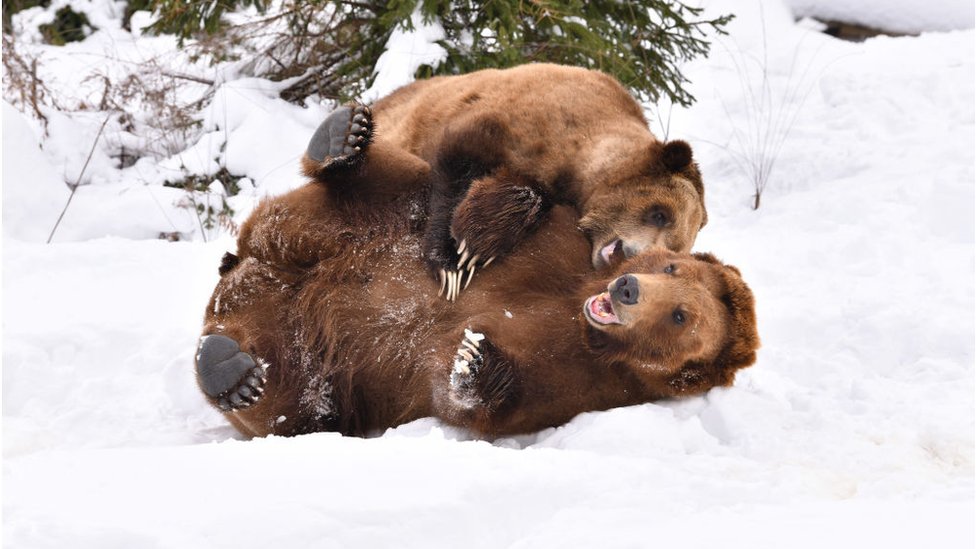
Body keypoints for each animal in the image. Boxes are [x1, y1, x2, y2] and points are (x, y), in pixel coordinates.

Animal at [194, 182, 760, 438]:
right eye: (672, 267)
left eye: (682, 317)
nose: (626, 288)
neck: (578, 310)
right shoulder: (563, 252)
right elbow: (529, 214)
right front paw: (489, 225)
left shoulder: (581, 384)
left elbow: (469, 400)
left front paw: (474, 358)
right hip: (334, 247)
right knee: (304, 222)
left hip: (329, 375)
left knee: (295, 400)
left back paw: (235, 374)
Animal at [302, 63, 704, 300]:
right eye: (659, 213)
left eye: (675, 247)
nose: (631, 254)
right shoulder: (513, 118)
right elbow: (458, 166)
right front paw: (454, 259)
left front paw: (479, 238)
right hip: (397, 116)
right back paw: (342, 134)